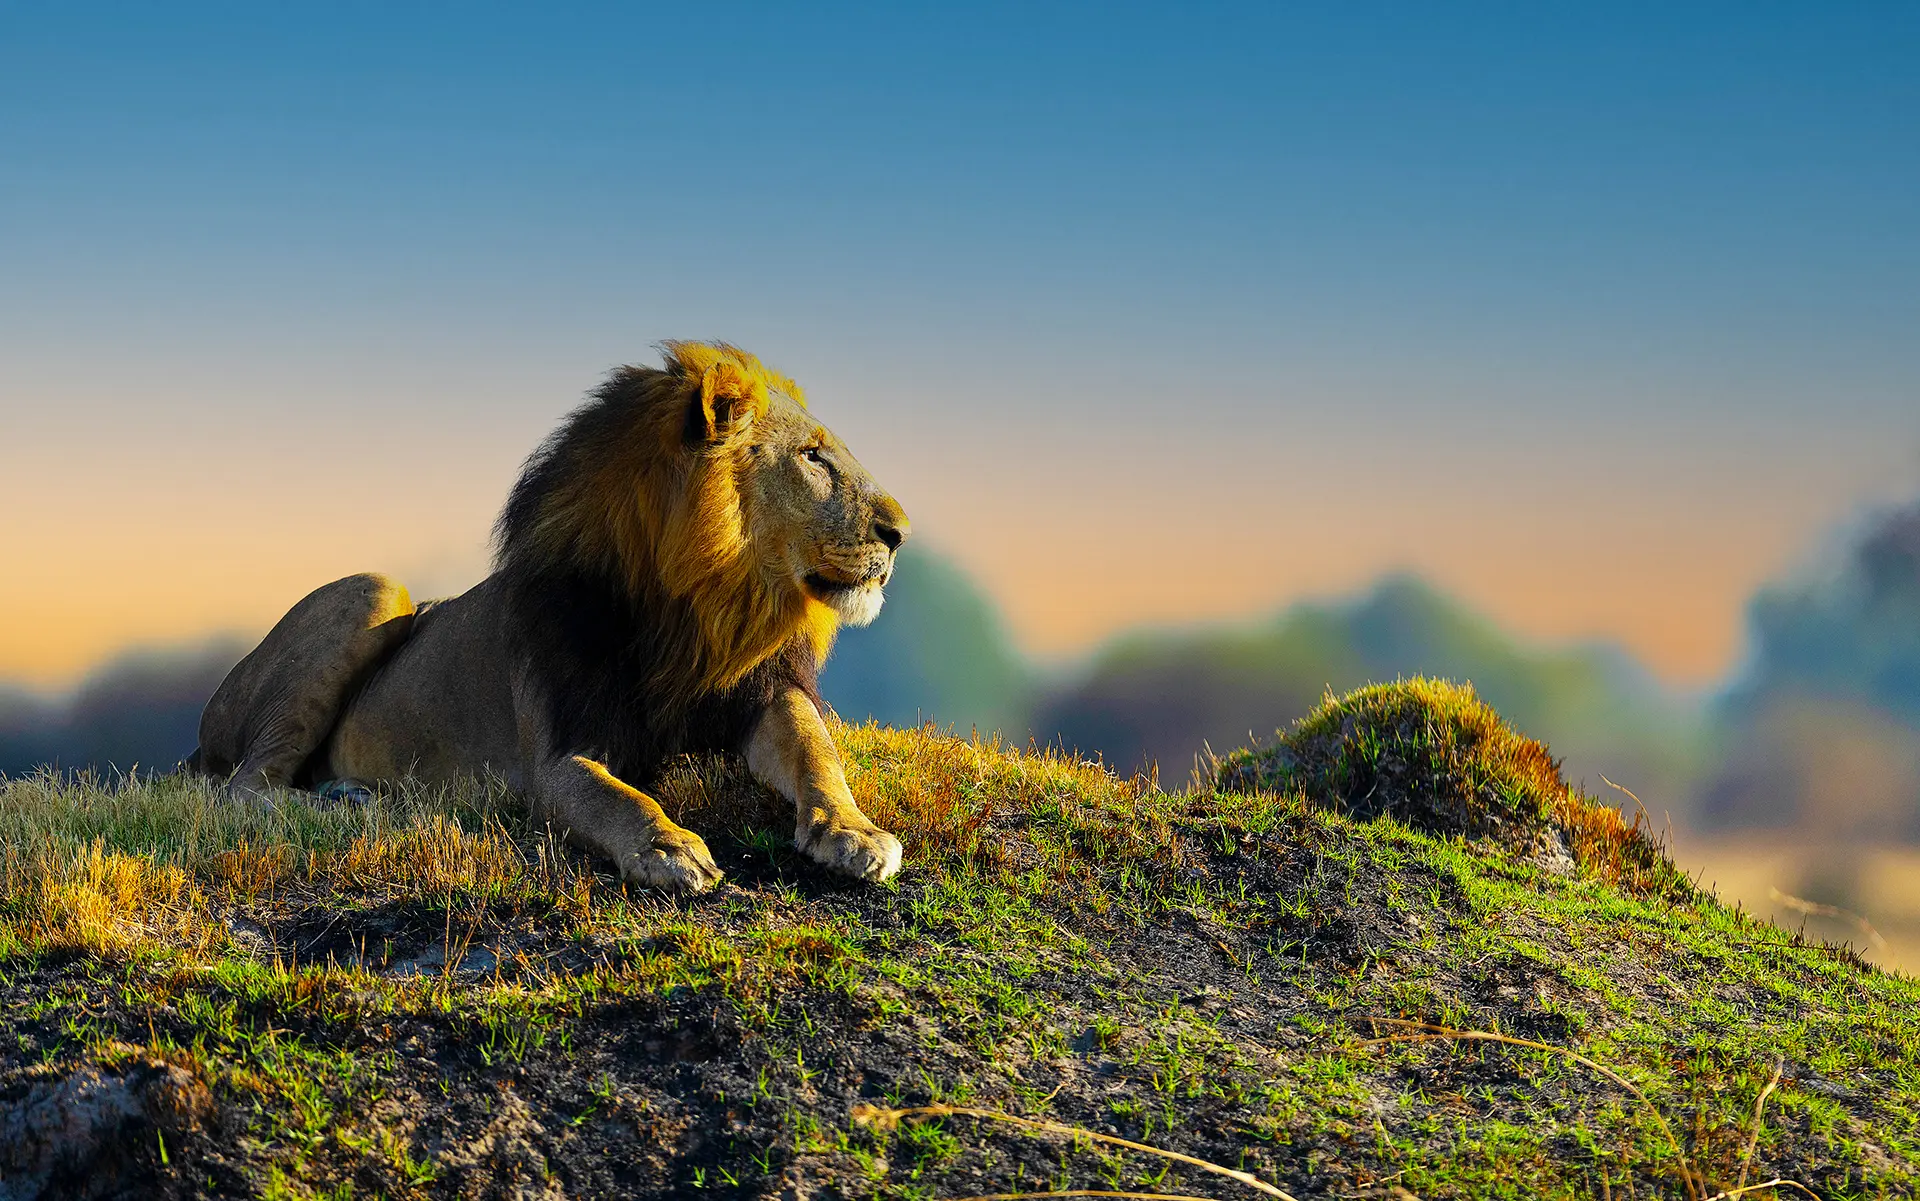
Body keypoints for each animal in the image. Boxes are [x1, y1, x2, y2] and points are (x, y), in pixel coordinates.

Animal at [190, 342, 908, 892]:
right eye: (812, 456)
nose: (899, 532)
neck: (694, 610)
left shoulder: (758, 693)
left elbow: (816, 751)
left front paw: (856, 831)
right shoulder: (557, 752)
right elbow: (615, 795)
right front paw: (668, 846)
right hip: (375, 589)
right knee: (244, 788)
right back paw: (352, 803)